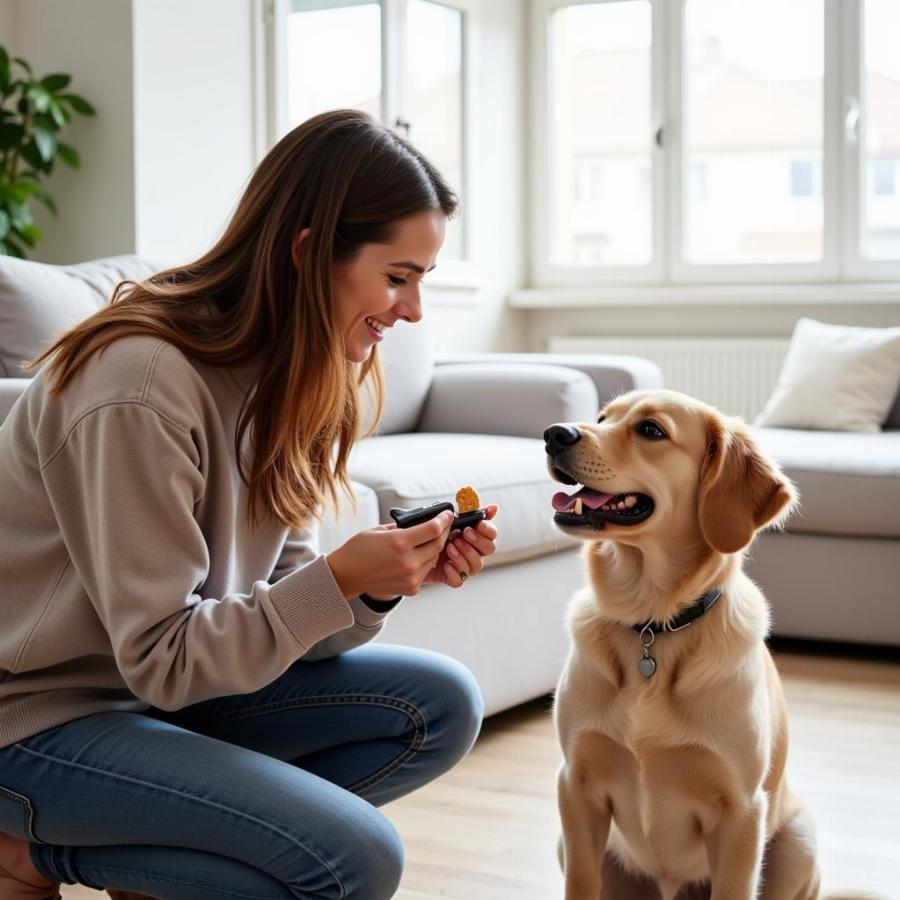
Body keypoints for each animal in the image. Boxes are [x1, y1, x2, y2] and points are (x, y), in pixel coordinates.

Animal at [544, 390, 820, 900]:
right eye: (601, 418)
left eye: (651, 430)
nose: (555, 434)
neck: (653, 624)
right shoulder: (575, 785)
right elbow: (580, 882)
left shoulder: (740, 812)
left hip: (799, 840)